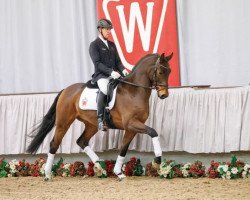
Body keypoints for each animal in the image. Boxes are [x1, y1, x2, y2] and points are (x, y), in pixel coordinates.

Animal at [27, 52, 172, 180]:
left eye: (169, 72)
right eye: (160, 72)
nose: (164, 95)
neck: (134, 92)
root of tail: (66, 90)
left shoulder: (131, 128)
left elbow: (124, 148)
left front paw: (119, 173)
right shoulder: (131, 123)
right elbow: (153, 132)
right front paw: (157, 161)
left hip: (92, 125)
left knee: (81, 141)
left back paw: (100, 166)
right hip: (64, 122)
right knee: (54, 144)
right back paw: (47, 174)